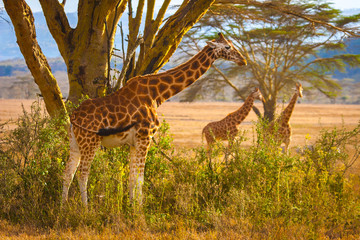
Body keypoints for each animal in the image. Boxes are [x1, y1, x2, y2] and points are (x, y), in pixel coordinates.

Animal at [62, 32, 248, 207]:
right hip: (90, 142)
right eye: (227, 47)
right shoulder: (146, 136)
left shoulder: (134, 142)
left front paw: (131, 207)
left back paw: (62, 208)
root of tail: (73, 116)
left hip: (75, 143)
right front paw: (139, 211)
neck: (157, 94)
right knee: (82, 174)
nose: (243, 60)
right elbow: (140, 178)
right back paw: (86, 210)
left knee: (68, 173)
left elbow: (132, 177)